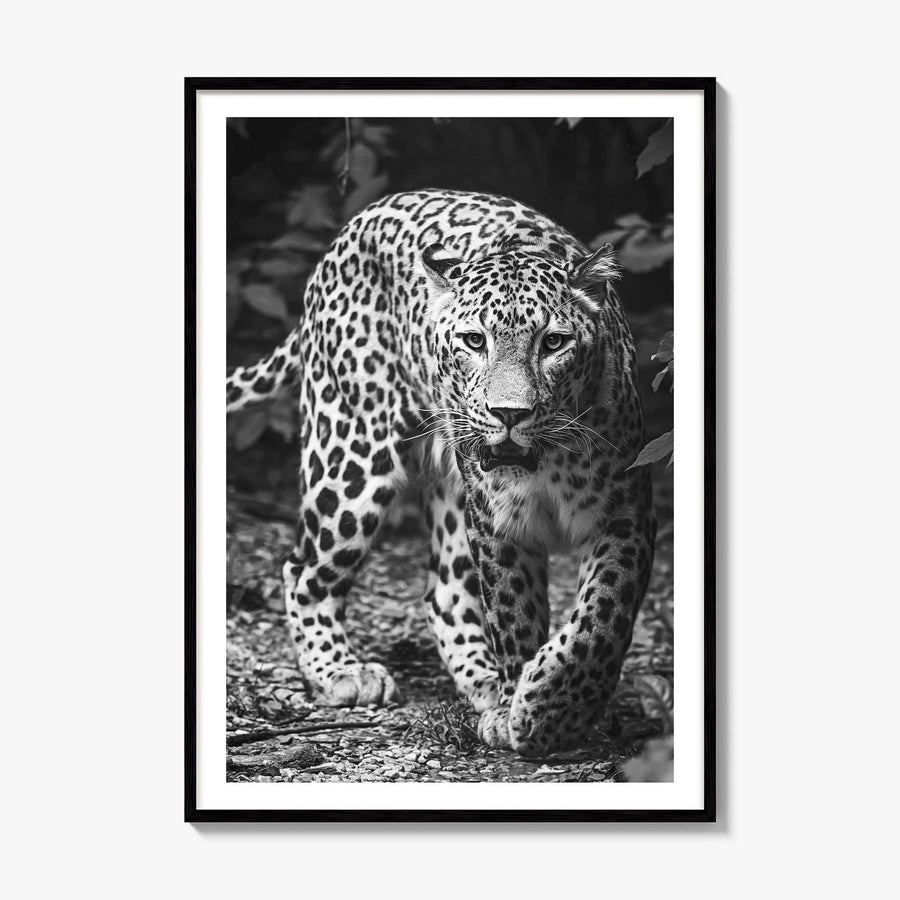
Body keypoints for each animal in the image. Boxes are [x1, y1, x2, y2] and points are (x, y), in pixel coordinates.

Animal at [226, 189, 656, 756]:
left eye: (553, 343)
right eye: (474, 342)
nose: (509, 413)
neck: (547, 461)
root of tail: (349, 230)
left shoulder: (625, 515)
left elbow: (601, 618)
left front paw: (549, 707)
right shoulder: (497, 524)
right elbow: (514, 615)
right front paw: (526, 710)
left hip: (450, 492)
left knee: (445, 593)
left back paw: (483, 682)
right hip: (351, 459)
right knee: (303, 569)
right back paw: (343, 672)